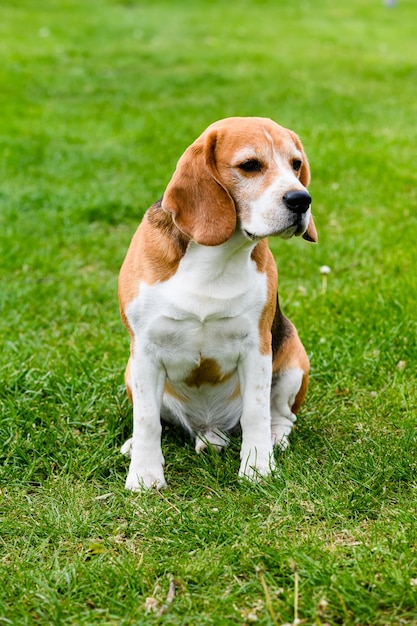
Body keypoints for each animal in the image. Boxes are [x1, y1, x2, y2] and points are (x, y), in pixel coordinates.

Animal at [117, 114, 316, 490]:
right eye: (250, 165)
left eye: (296, 164)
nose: (301, 199)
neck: (217, 255)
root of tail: (208, 427)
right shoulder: (145, 350)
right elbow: (147, 419)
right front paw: (145, 475)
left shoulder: (257, 347)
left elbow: (255, 411)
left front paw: (258, 468)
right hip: (130, 371)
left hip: (295, 360)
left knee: (282, 415)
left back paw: (275, 437)